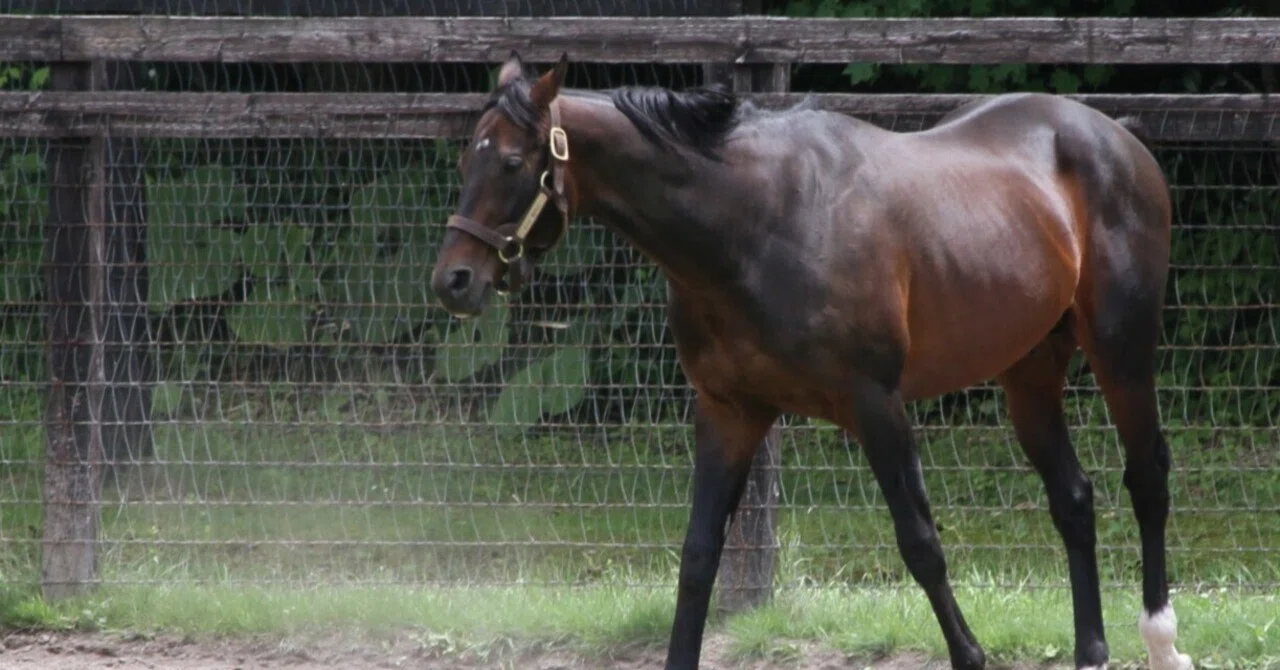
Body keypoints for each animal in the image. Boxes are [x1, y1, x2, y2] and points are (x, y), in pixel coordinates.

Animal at [429, 52, 1191, 670]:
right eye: (466, 160)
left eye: (512, 163)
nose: (453, 282)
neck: (757, 220)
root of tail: (1115, 135)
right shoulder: (729, 413)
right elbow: (698, 558)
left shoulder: (877, 407)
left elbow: (921, 544)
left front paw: (971, 654)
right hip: (1029, 371)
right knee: (1074, 497)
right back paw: (1093, 650)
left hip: (1122, 350)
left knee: (1146, 477)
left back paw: (1162, 639)